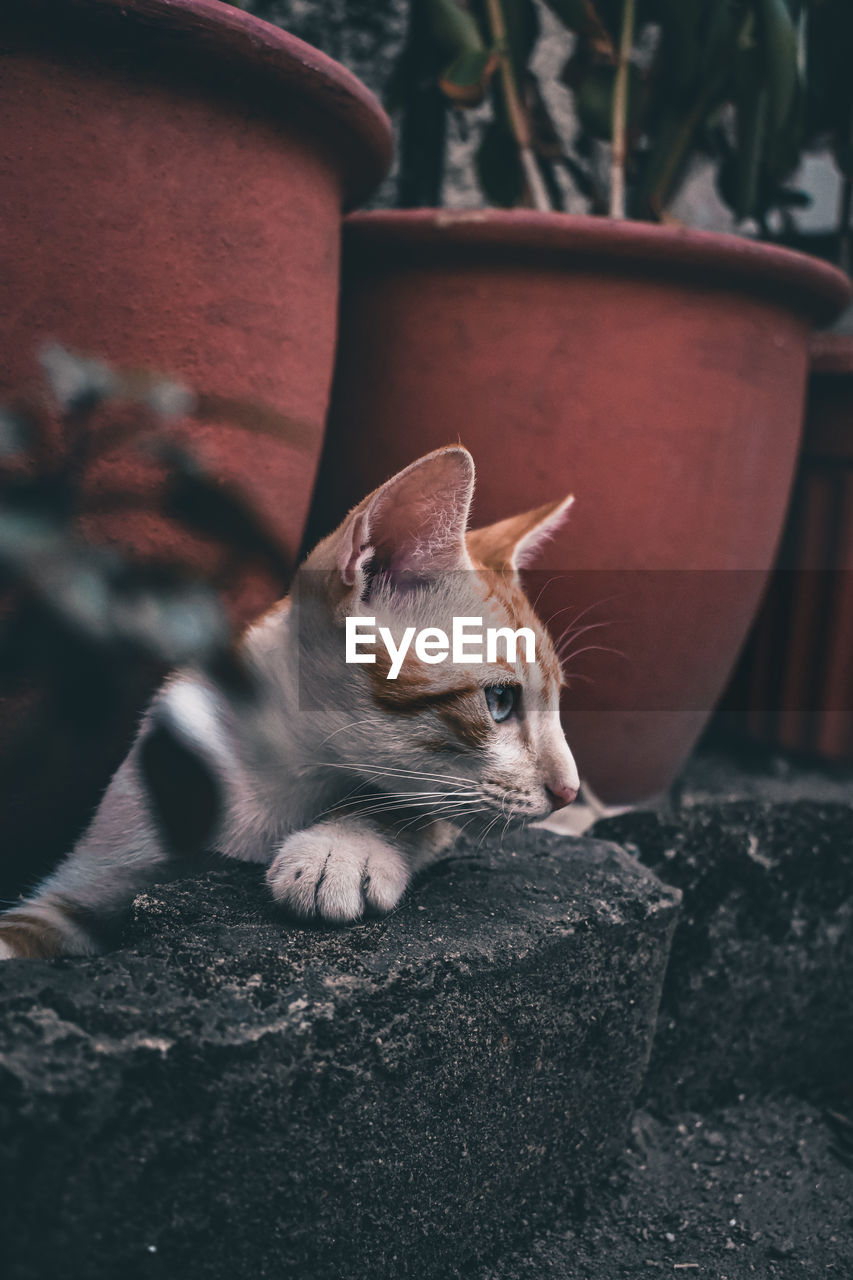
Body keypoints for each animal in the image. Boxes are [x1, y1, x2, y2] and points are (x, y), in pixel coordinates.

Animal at [0, 450, 578, 962]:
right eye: (499, 700)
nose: (568, 790)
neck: (284, 772)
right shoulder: (83, 885)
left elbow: (408, 808)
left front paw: (341, 847)